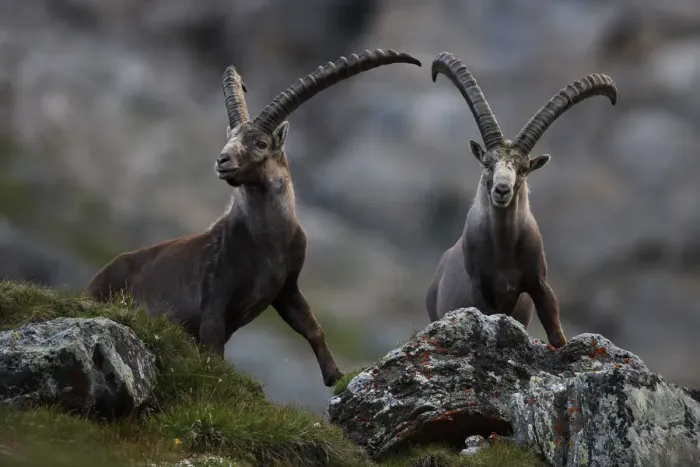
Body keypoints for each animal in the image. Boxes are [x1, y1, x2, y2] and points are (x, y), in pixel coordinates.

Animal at [87, 49, 422, 386]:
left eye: (261, 143)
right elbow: (214, 351)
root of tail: (93, 282)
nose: (222, 160)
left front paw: (334, 376)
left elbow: (311, 327)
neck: (268, 240)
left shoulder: (286, 287)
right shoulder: (215, 299)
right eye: (230, 138)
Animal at [425, 52, 617, 348]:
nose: (502, 190)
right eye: (487, 162)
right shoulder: (479, 285)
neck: (503, 250)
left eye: (524, 168)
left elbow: (555, 330)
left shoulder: (537, 280)